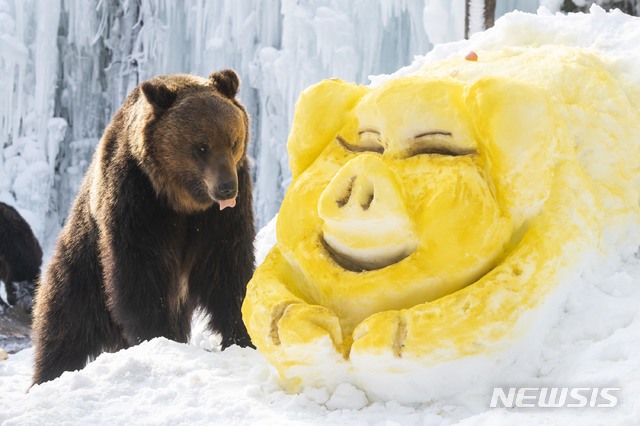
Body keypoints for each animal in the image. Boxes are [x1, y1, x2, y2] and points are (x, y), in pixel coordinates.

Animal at [30, 68, 255, 384]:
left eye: (233, 141)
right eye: (202, 146)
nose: (226, 188)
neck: (183, 202)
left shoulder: (221, 218)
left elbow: (229, 269)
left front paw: (244, 334)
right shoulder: (139, 199)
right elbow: (140, 273)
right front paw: (157, 336)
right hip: (84, 266)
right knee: (65, 323)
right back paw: (48, 375)